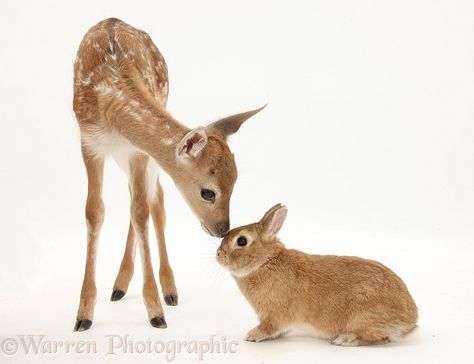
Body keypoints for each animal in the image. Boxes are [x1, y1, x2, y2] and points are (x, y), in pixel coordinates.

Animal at [217, 203, 416, 346]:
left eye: (242, 241)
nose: (218, 255)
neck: (265, 262)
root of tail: (410, 320)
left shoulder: (275, 315)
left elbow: (270, 327)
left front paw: (252, 335)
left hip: (364, 317)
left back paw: (344, 339)